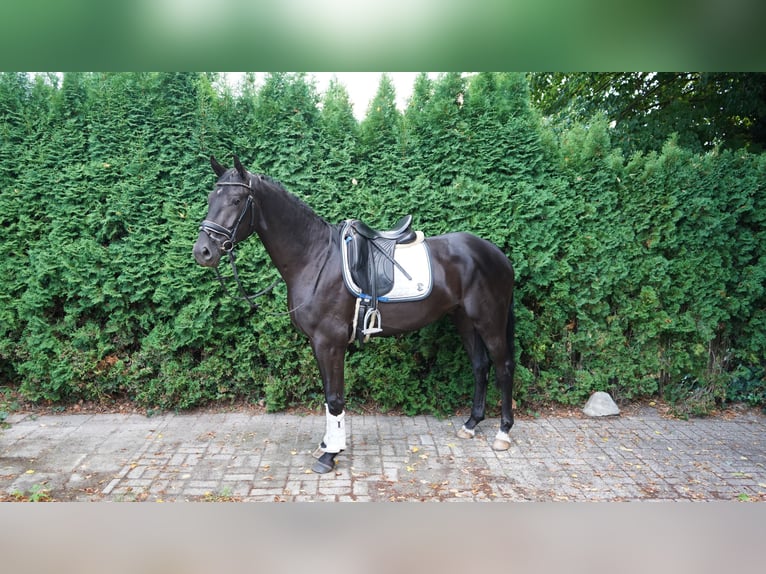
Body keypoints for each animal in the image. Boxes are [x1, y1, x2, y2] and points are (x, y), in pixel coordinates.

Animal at [193, 156, 516, 474]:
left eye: (236, 200)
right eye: (210, 198)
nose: (203, 251)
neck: (315, 258)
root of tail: (497, 254)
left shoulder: (330, 342)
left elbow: (335, 399)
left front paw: (330, 455)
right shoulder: (318, 344)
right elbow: (328, 396)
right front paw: (326, 445)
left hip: (489, 320)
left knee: (503, 368)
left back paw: (503, 432)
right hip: (465, 320)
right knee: (480, 366)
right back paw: (471, 424)